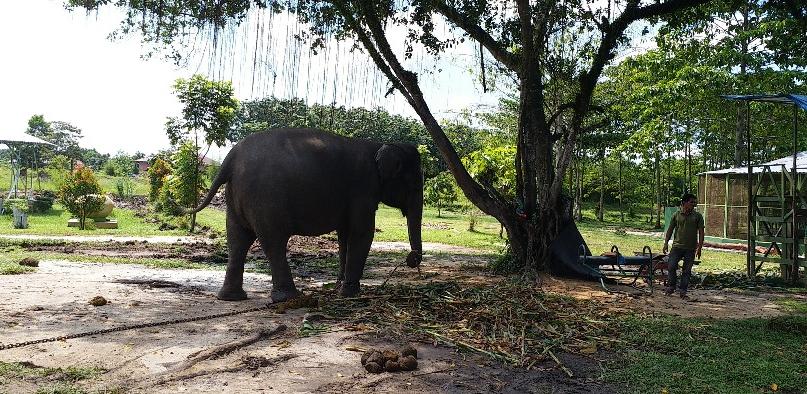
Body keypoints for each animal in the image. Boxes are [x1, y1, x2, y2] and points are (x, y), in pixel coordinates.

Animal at [188, 129, 422, 302]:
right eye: (413, 184)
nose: (411, 260)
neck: (380, 144)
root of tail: (230, 158)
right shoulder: (363, 188)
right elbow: (362, 232)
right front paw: (350, 294)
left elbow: (345, 235)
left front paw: (339, 287)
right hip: (266, 198)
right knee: (273, 242)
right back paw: (289, 298)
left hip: (236, 197)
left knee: (237, 240)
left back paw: (231, 298)